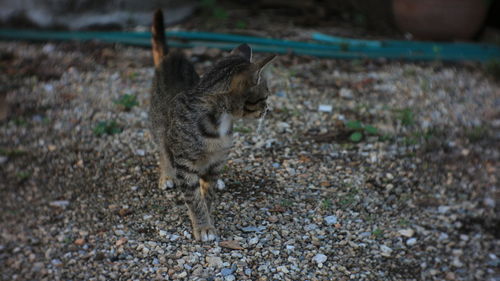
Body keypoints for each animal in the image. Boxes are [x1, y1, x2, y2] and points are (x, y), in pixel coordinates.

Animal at [148, 9, 276, 241]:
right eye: (264, 97)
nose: (267, 110)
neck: (220, 123)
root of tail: (172, 57)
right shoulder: (184, 163)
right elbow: (194, 198)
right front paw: (203, 226)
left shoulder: (218, 160)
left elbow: (207, 194)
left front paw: (208, 215)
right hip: (159, 125)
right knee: (163, 149)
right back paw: (167, 175)